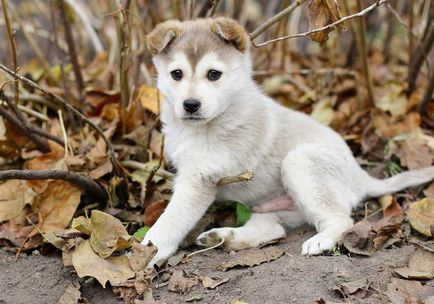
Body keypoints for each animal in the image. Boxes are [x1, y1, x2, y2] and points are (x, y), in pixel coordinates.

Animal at [142, 18, 434, 266]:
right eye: (176, 74)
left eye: (214, 74)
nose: (190, 105)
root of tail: (360, 175)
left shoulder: (198, 180)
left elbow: (170, 221)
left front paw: (148, 250)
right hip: (269, 206)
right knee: (273, 229)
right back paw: (224, 238)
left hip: (300, 162)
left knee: (341, 220)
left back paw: (320, 241)